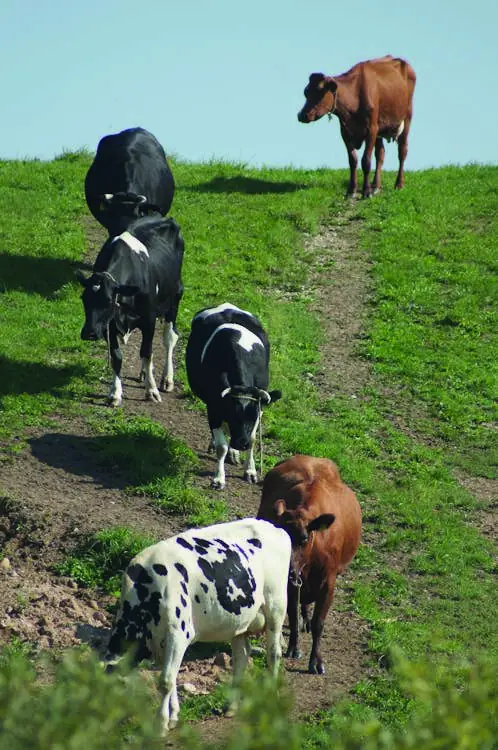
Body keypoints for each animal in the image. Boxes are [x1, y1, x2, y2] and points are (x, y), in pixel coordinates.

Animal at [77, 215, 184, 406]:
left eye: (108, 301)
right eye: (84, 299)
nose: (89, 333)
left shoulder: (149, 320)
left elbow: (147, 353)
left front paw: (151, 390)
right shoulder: (110, 325)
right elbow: (117, 357)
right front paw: (115, 393)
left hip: (175, 297)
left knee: (170, 338)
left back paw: (166, 379)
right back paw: (144, 374)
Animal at [103, 518, 291, 735]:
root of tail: (274, 527)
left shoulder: (178, 634)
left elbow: (166, 681)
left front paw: (161, 725)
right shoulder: (161, 642)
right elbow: (171, 678)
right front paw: (173, 718)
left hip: (276, 607)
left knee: (273, 653)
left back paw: (272, 695)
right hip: (240, 621)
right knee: (241, 657)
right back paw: (231, 706)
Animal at [185, 303, 282, 489]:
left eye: (252, 416)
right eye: (231, 414)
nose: (240, 443)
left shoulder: (260, 407)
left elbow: (253, 439)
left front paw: (250, 471)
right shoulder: (214, 408)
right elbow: (221, 446)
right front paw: (218, 478)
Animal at [257, 454, 362, 675]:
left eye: (304, 539)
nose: (288, 569)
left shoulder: (328, 582)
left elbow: (318, 623)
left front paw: (316, 660)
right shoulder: (291, 581)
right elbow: (292, 614)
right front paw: (294, 648)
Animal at [297, 55, 416, 198]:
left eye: (320, 93)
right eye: (306, 92)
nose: (302, 115)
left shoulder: (371, 129)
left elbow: (366, 161)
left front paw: (366, 191)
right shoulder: (345, 131)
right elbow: (353, 160)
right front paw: (351, 190)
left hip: (406, 118)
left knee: (402, 151)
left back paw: (398, 184)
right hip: (380, 129)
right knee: (380, 154)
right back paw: (376, 186)